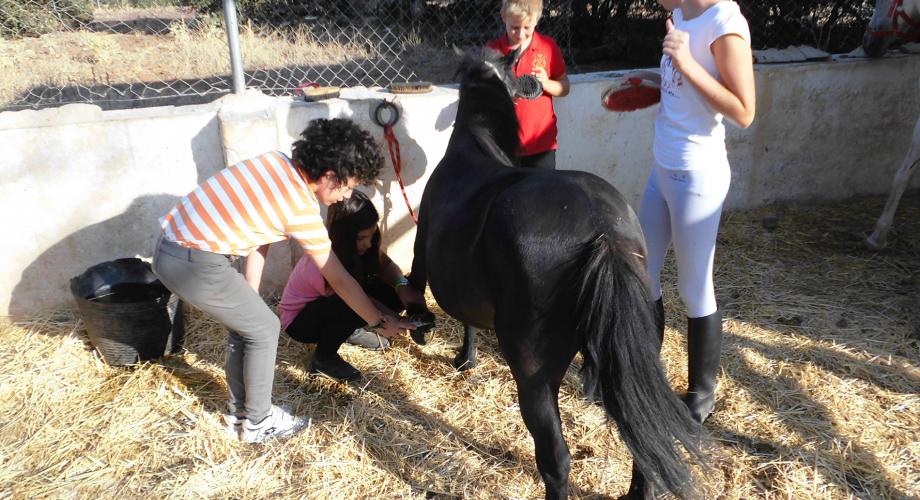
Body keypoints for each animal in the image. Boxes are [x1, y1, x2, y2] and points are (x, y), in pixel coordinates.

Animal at [410, 51, 704, 500]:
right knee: (644, 439)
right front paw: (466, 359)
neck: (472, 144)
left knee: (555, 458)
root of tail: (604, 230)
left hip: (534, 374)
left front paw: (449, 349)